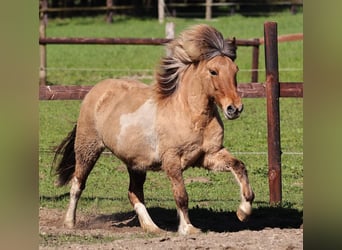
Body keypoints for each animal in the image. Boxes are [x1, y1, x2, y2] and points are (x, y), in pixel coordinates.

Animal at [52, 24, 254, 235]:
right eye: (213, 71)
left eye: (235, 70)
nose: (234, 108)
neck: (190, 114)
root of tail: (96, 90)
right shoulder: (172, 160)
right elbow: (181, 195)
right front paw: (188, 228)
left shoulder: (209, 155)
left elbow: (239, 166)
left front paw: (243, 212)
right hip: (88, 148)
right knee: (77, 184)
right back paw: (70, 223)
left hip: (135, 163)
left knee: (134, 193)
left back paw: (152, 228)